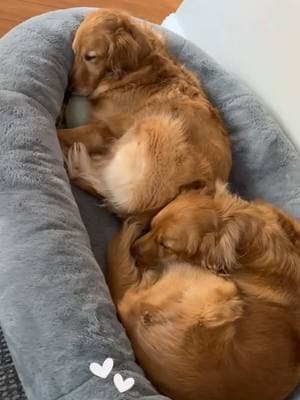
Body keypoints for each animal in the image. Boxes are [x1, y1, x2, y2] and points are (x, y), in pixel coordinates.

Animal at [58, 8, 232, 216]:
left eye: (91, 57)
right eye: (74, 52)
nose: (69, 88)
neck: (138, 68)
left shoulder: (103, 130)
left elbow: (64, 134)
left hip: (157, 125)